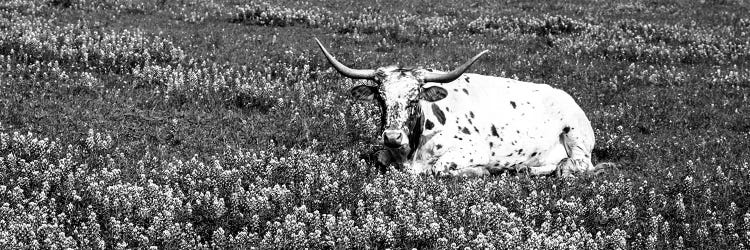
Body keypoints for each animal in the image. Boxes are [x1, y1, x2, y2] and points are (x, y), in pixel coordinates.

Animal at [316, 38, 612, 177]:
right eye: (380, 98)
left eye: (415, 97)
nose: (392, 136)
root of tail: (568, 97)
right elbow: (381, 158)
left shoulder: (473, 149)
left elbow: (437, 168)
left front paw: (482, 170)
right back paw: (524, 169)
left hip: (576, 138)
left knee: (578, 165)